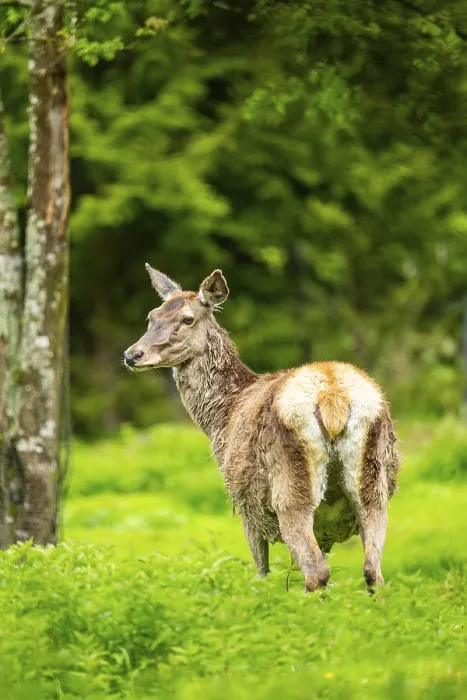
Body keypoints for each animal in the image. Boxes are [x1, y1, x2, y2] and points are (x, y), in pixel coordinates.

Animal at [124, 266, 400, 593]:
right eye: (152, 316)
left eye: (187, 319)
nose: (132, 355)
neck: (223, 416)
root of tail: (332, 396)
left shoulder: (244, 504)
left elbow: (261, 572)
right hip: (373, 484)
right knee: (373, 572)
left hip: (289, 486)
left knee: (316, 572)